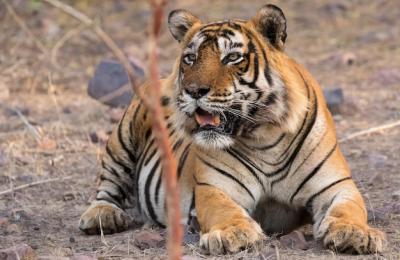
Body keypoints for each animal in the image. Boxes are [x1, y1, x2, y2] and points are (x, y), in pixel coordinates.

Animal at [78, 4, 384, 255]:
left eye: (232, 57)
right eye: (190, 58)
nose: (193, 90)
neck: (266, 138)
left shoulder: (336, 185)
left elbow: (349, 208)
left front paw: (356, 234)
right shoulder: (216, 187)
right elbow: (225, 211)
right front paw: (232, 234)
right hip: (122, 139)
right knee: (108, 184)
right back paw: (102, 216)